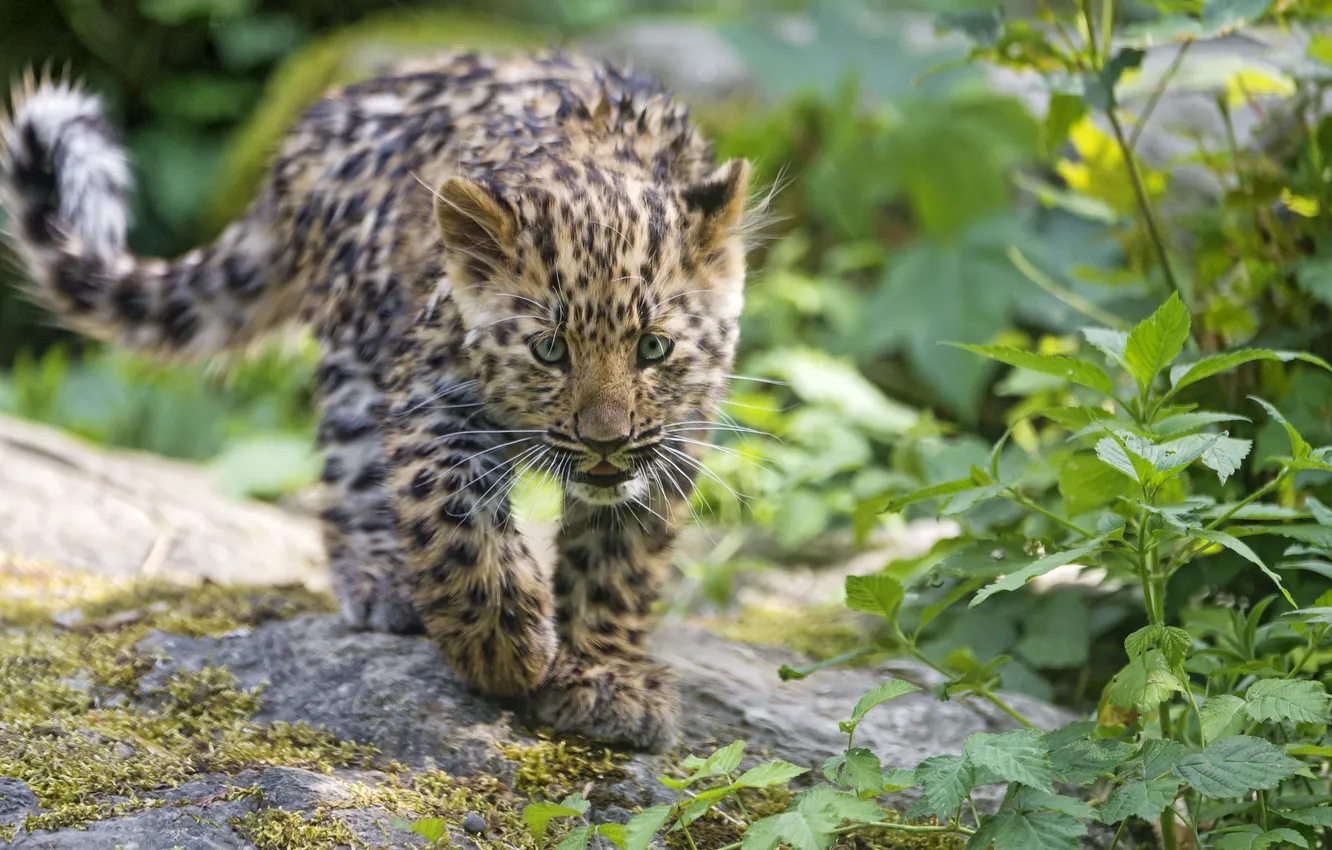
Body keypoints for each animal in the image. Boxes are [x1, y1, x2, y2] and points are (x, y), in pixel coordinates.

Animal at [0, 50, 755, 752]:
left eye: (653, 348)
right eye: (549, 350)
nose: (604, 441)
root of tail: (310, 132)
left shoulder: (672, 437)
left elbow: (617, 558)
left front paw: (604, 677)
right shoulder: (429, 395)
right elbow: (455, 521)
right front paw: (504, 649)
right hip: (357, 350)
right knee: (350, 476)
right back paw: (382, 579)